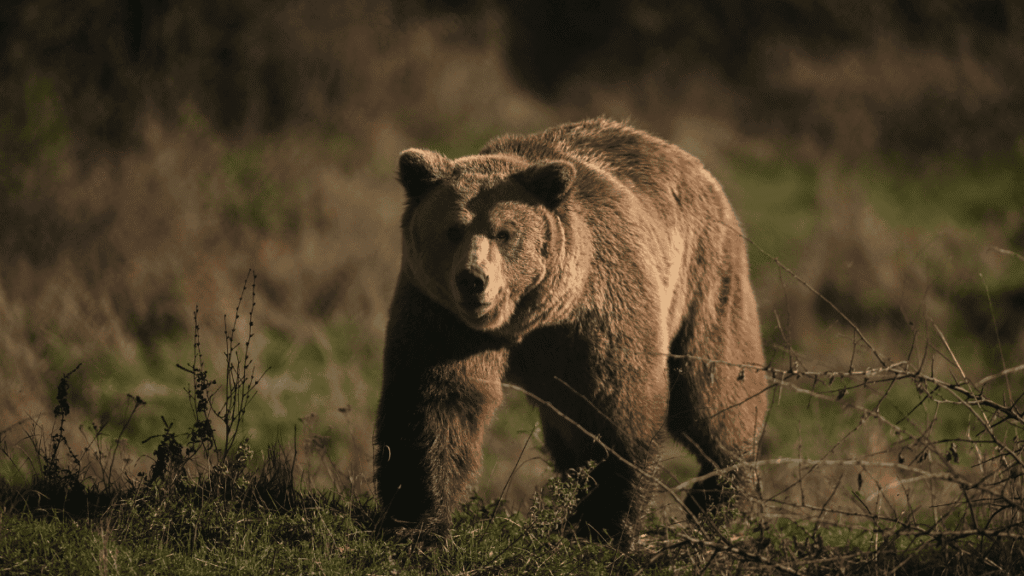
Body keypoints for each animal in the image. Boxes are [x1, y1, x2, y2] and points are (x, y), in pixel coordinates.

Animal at [374, 118, 767, 547]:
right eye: (452, 229)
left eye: (504, 232)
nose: (473, 280)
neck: (529, 317)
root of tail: (692, 164)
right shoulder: (443, 317)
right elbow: (437, 403)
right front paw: (418, 521)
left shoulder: (599, 313)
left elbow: (619, 407)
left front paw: (606, 523)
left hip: (705, 280)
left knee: (714, 391)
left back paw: (719, 497)